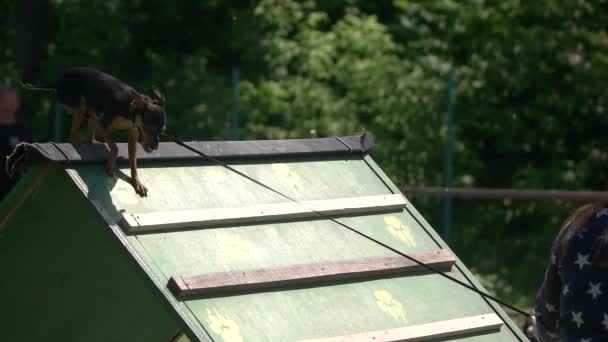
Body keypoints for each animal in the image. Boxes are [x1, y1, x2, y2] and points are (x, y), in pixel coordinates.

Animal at [22, 67, 166, 196]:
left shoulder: (132, 134)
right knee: (73, 132)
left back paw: (92, 142)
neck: (130, 109)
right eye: (150, 128)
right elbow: (114, 148)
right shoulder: (104, 124)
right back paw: (76, 142)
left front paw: (137, 182)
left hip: (91, 111)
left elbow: (133, 162)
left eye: (161, 131)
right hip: (80, 106)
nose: (155, 147)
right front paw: (111, 165)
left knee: (89, 129)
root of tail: (60, 79)